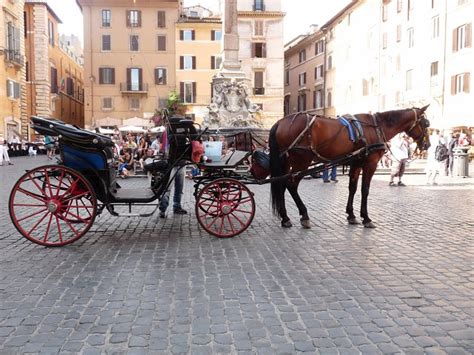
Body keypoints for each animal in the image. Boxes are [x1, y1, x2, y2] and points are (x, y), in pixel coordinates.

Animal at [270, 105, 430, 228]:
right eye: (426, 123)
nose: (427, 145)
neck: (377, 127)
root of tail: (280, 122)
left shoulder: (356, 164)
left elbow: (352, 188)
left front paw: (351, 215)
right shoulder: (370, 164)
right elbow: (365, 190)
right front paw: (366, 218)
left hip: (286, 162)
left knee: (281, 185)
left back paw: (285, 218)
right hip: (302, 161)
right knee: (291, 185)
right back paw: (304, 215)